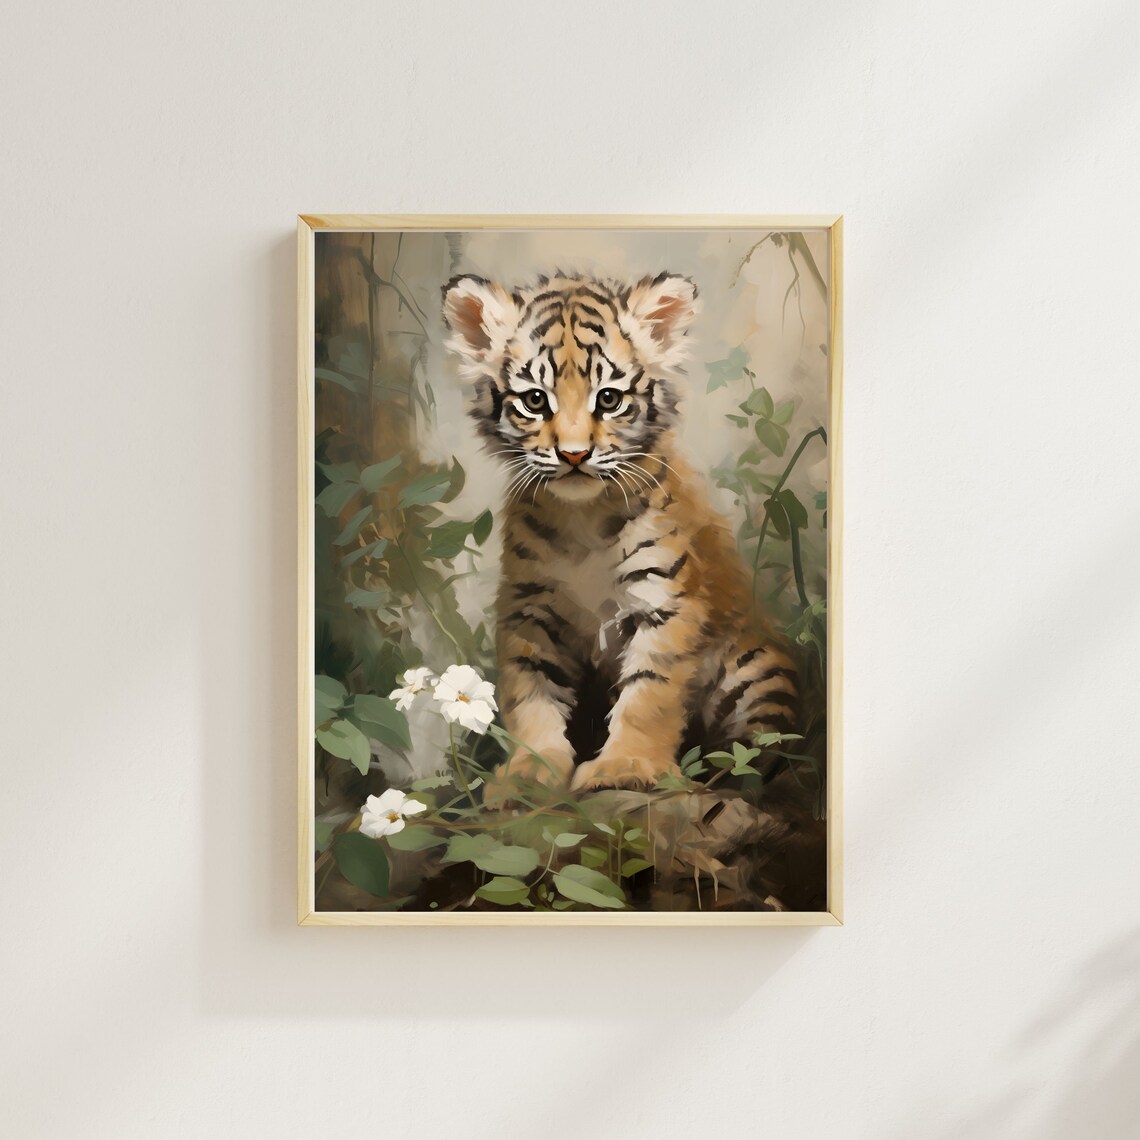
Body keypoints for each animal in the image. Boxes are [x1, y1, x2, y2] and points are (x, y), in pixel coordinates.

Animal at [441, 271, 798, 798]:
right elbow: (531, 690)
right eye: (534, 399)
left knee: (761, 748)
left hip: (755, 666)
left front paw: (626, 767)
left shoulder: (664, 599)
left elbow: (650, 691)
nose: (573, 455)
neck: (582, 518)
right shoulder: (529, 605)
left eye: (608, 399)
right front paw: (529, 772)